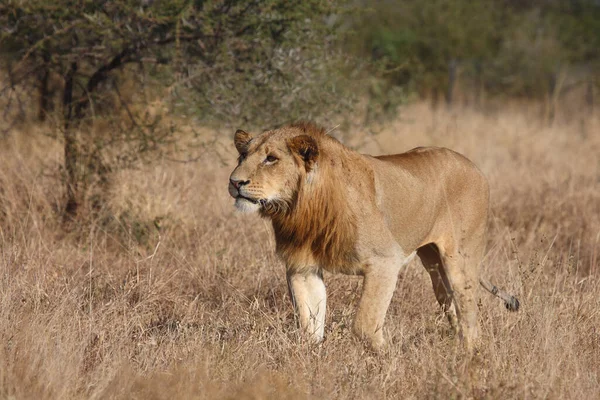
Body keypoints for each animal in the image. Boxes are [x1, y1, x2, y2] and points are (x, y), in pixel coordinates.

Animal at [227, 122, 516, 350]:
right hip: (435, 265)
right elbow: (310, 326)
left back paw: (469, 355)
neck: (303, 209)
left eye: (271, 159)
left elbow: (364, 326)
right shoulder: (302, 267)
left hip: (461, 260)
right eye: (242, 156)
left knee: (470, 315)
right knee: (453, 307)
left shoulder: (385, 261)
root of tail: (474, 167)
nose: (234, 182)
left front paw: (389, 360)